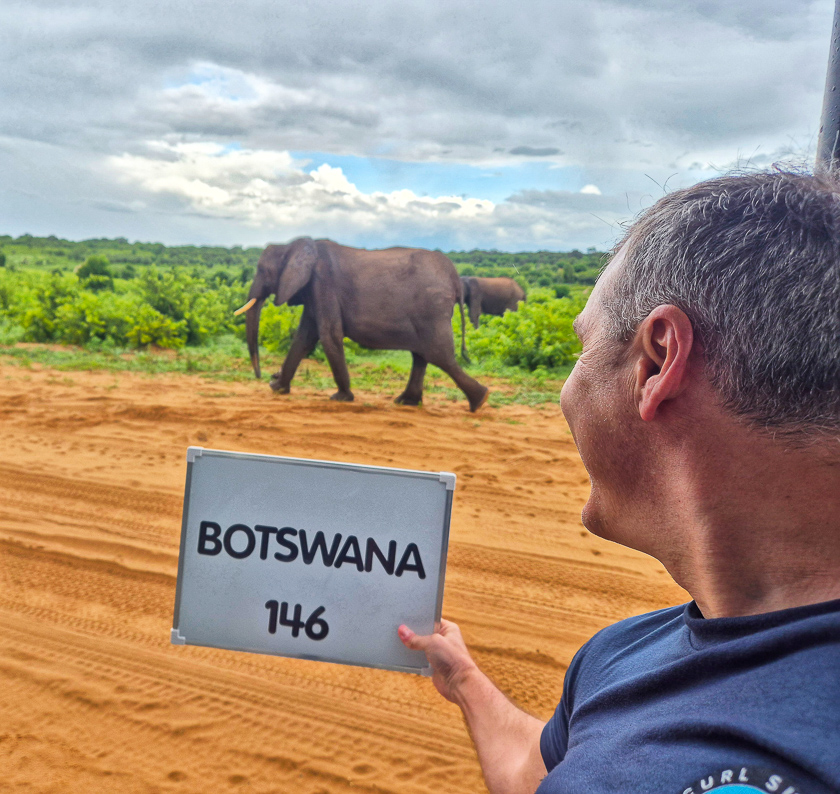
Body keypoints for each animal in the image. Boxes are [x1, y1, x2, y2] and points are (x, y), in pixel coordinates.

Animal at [234, 238, 489, 411]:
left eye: (262, 270)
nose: (263, 376)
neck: (293, 246)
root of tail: (454, 278)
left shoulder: (322, 284)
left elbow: (329, 335)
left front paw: (341, 398)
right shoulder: (313, 291)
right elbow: (304, 338)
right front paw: (277, 388)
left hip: (432, 308)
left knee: (438, 355)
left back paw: (479, 401)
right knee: (422, 355)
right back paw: (406, 402)